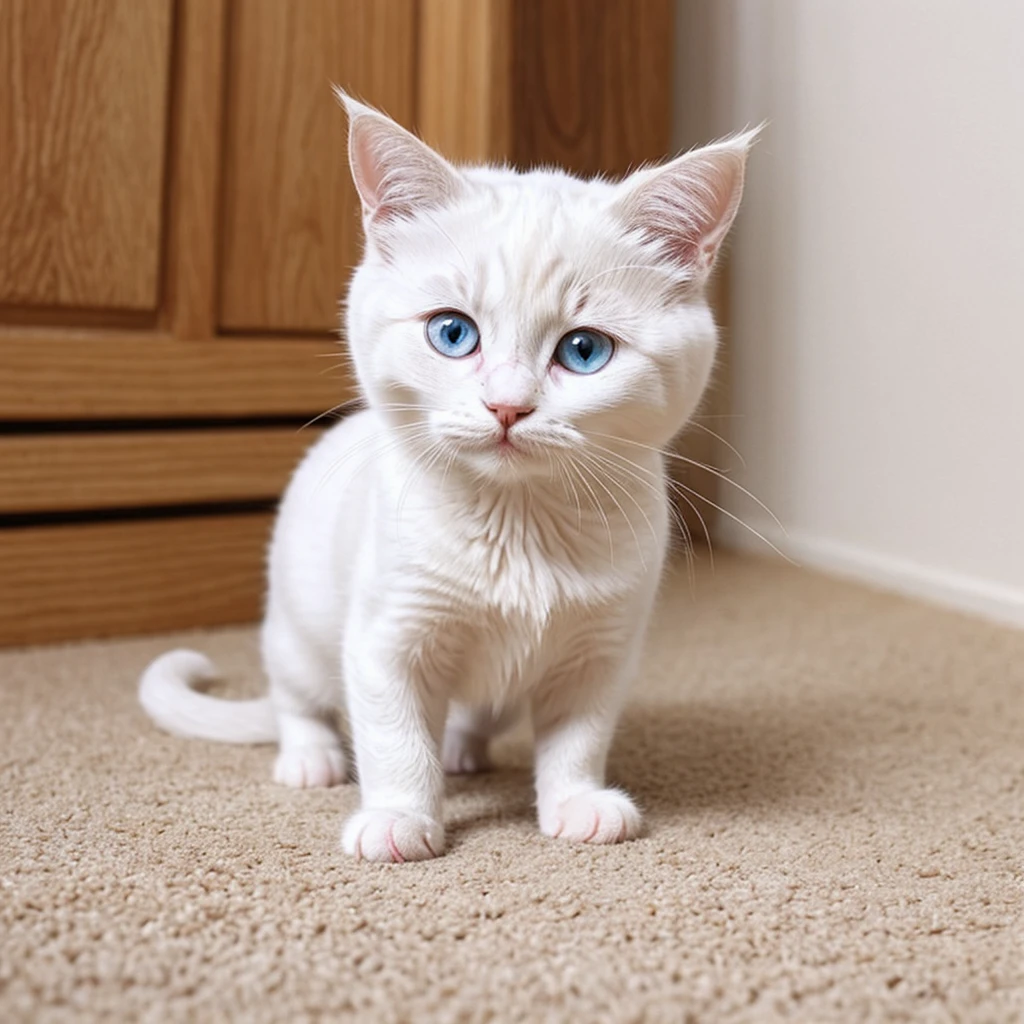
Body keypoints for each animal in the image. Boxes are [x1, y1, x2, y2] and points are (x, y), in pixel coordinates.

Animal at [138, 92, 753, 864]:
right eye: (453, 333)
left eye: (584, 351)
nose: (507, 406)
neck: (519, 528)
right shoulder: (387, 636)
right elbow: (395, 735)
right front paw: (399, 815)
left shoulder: (601, 649)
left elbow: (577, 735)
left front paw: (576, 801)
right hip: (296, 627)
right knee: (296, 698)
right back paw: (311, 756)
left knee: (472, 715)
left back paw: (462, 749)